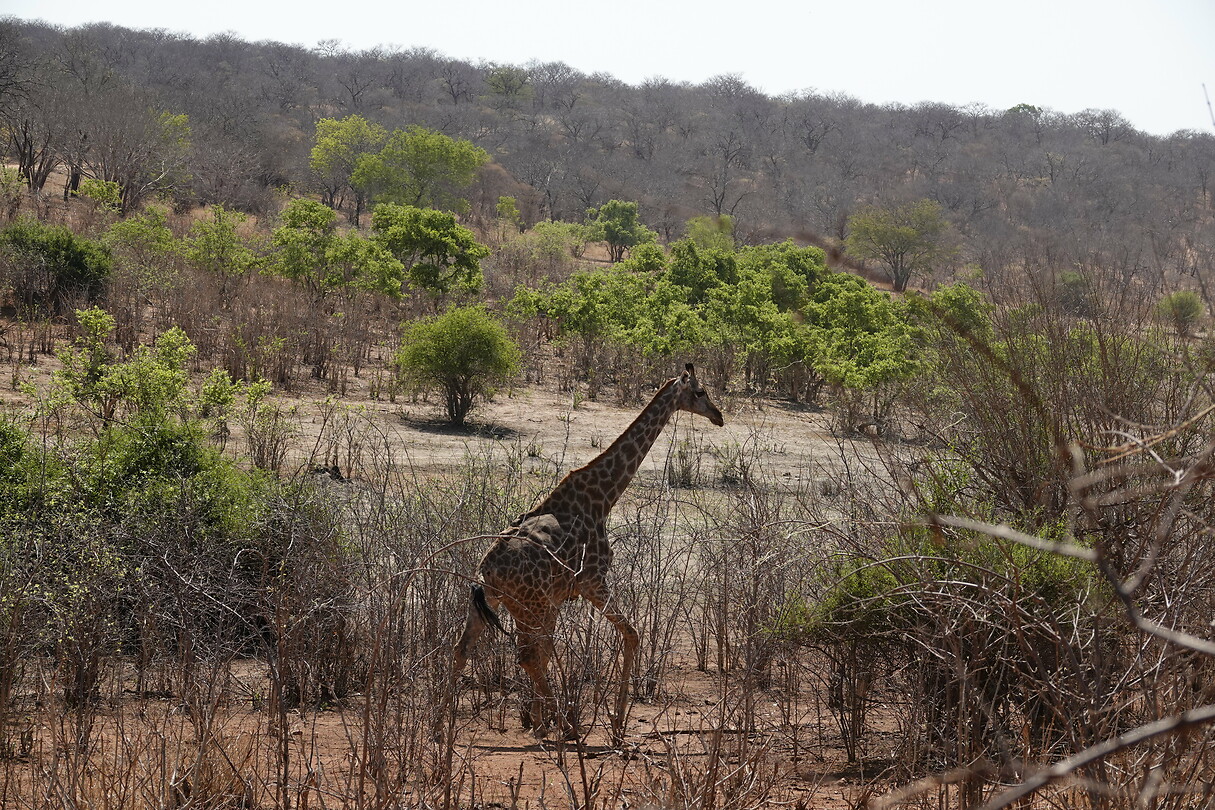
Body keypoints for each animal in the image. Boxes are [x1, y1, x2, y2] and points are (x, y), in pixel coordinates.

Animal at [452, 363, 724, 737]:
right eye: (699, 392)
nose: (719, 416)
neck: (603, 497)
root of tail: (487, 569)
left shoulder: (558, 597)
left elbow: (550, 652)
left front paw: (540, 724)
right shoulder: (592, 582)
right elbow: (632, 635)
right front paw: (616, 723)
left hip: (498, 602)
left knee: (463, 648)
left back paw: (441, 729)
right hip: (526, 605)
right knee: (524, 656)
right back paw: (569, 727)